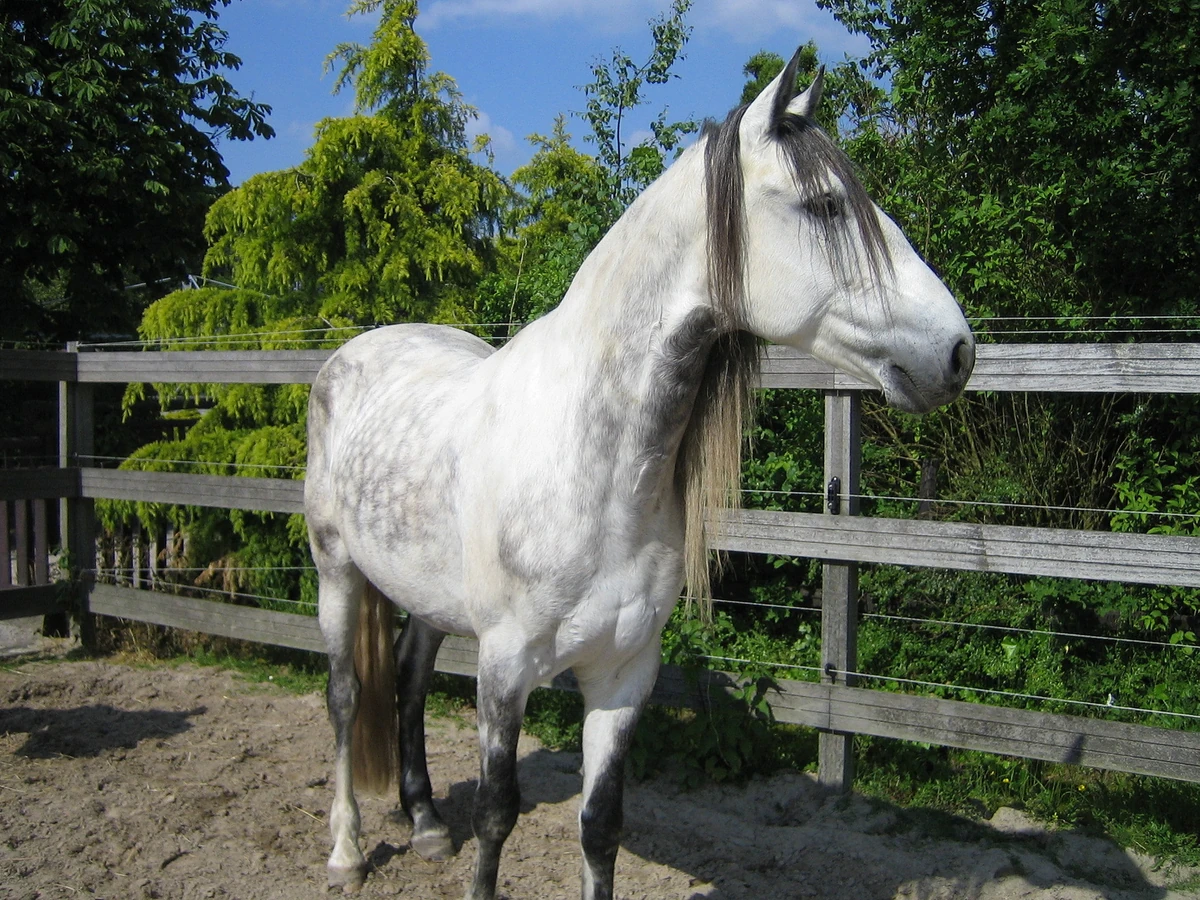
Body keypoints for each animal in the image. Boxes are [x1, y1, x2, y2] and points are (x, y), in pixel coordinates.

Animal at [304, 47, 975, 900]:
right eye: (826, 207)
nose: (958, 352)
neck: (596, 476)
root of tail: (355, 352)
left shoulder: (623, 678)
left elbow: (600, 826)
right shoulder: (504, 670)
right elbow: (496, 814)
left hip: (426, 597)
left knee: (409, 682)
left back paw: (424, 824)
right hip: (337, 571)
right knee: (347, 695)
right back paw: (346, 851)